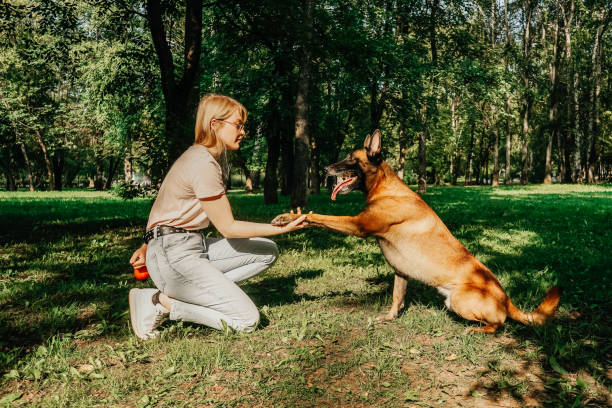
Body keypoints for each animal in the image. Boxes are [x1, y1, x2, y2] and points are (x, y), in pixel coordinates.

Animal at [272, 129, 560, 334]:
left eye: (352, 159)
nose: (325, 169)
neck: (385, 188)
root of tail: (507, 299)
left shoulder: (357, 225)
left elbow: (317, 217)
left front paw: (291, 217)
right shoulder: (401, 272)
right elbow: (396, 298)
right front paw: (390, 318)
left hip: (459, 300)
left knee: (500, 324)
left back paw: (477, 330)